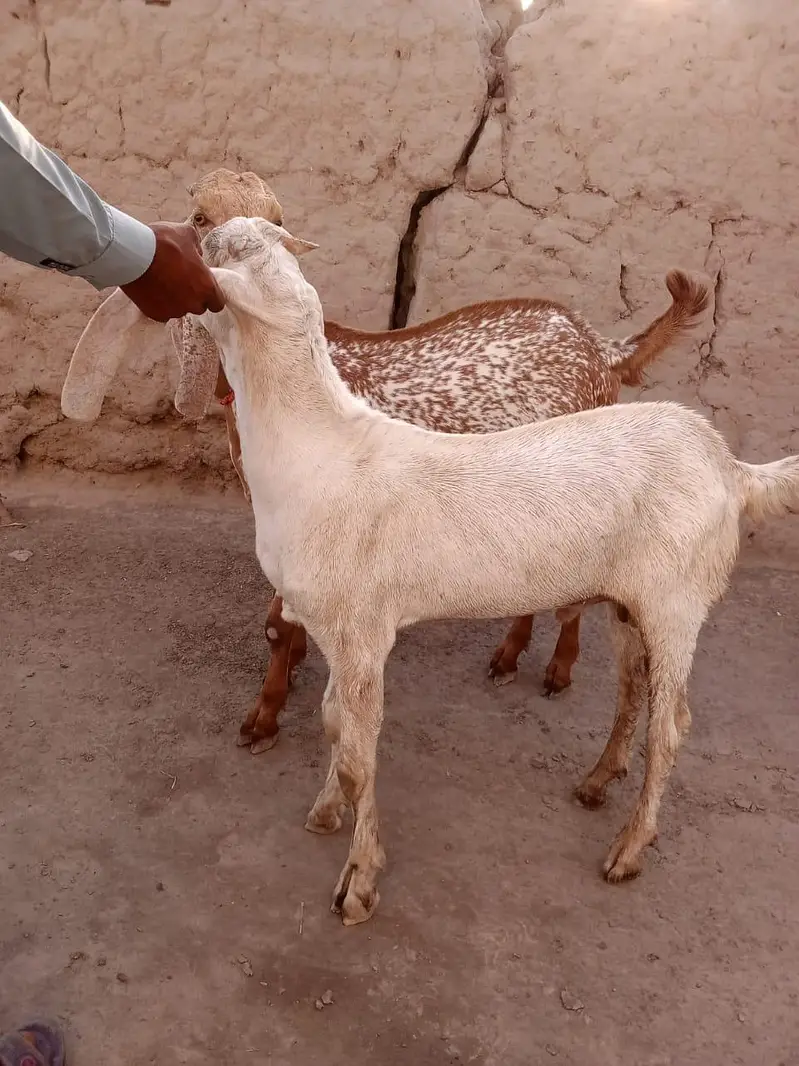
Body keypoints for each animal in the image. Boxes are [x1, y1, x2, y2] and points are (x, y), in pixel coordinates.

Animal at [181, 168, 709, 754]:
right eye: (200, 217)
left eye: (277, 221)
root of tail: (601, 348)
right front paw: (292, 672)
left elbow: (278, 626)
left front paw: (264, 718)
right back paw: (510, 656)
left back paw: (557, 669)